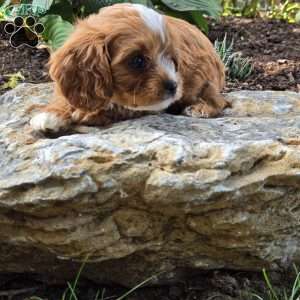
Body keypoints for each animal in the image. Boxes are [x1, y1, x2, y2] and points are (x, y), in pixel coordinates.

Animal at [30, 2, 229, 131]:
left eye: (172, 59)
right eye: (137, 61)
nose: (174, 86)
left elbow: (124, 107)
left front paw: (89, 114)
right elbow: (63, 97)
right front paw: (50, 114)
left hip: (204, 80)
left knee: (219, 101)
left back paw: (200, 109)